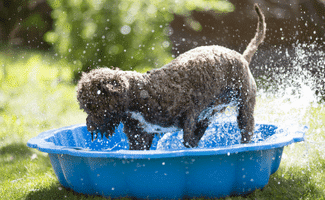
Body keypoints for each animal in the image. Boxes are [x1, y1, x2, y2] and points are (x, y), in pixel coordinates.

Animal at [77, 3, 264, 150]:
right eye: (85, 108)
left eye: (93, 105)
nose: (89, 127)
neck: (138, 93)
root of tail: (242, 58)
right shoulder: (140, 136)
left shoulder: (190, 117)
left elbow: (188, 141)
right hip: (210, 115)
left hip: (244, 108)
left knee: (246, 131)